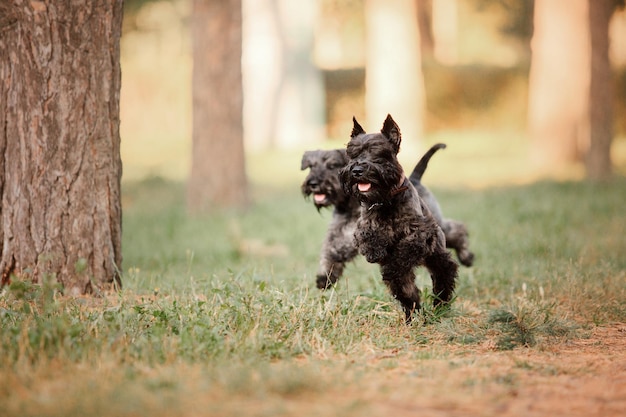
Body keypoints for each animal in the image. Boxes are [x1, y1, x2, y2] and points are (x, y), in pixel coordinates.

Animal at [338, 114, 456, 322]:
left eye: (378, 152)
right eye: (352, 153)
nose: (357, 170)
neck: (386, 200)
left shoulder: (421, 231)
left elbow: (407, 247)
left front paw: (399, 257)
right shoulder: (364, 226)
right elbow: (369, 236)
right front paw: (375, 251)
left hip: (437, 254)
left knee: (445, 272)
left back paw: (440, 304)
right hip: (402, 282)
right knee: (408, 291)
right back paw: (413, 316)